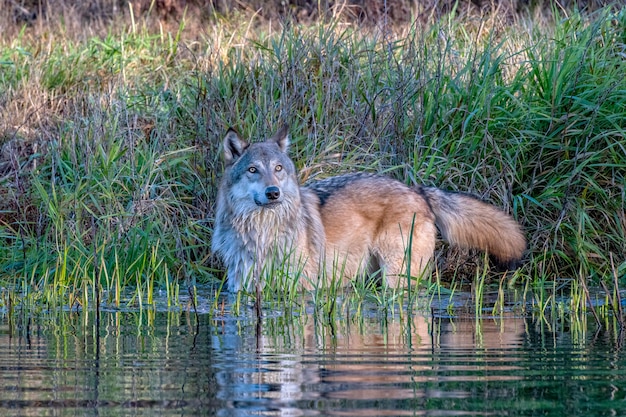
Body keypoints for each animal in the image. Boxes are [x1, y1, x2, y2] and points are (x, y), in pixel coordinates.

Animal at [212, 125, 524, 290]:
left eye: (278, 169)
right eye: (253, 169)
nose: (273, 192)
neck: (261, 233)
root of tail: (418, 191)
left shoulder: (302, 291)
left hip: (397, 277)